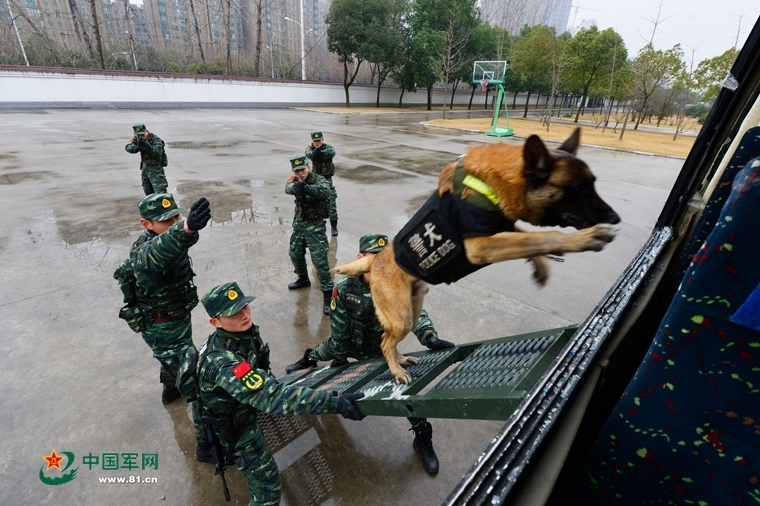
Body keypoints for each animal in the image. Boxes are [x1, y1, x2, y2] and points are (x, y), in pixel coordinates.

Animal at [332, 129, 616, 384]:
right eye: (578, 188)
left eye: (593, 183)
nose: (615, 218)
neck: (494, 182)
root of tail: (375, 259)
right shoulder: (481, 244)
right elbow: (539, 237)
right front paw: (583, 239)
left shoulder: (498, 227)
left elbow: (525, 236)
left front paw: (543, 263)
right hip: (401, 317)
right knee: (384, 342)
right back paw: (396, 369)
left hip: (411, 313)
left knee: (388, 340)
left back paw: (400, 360)